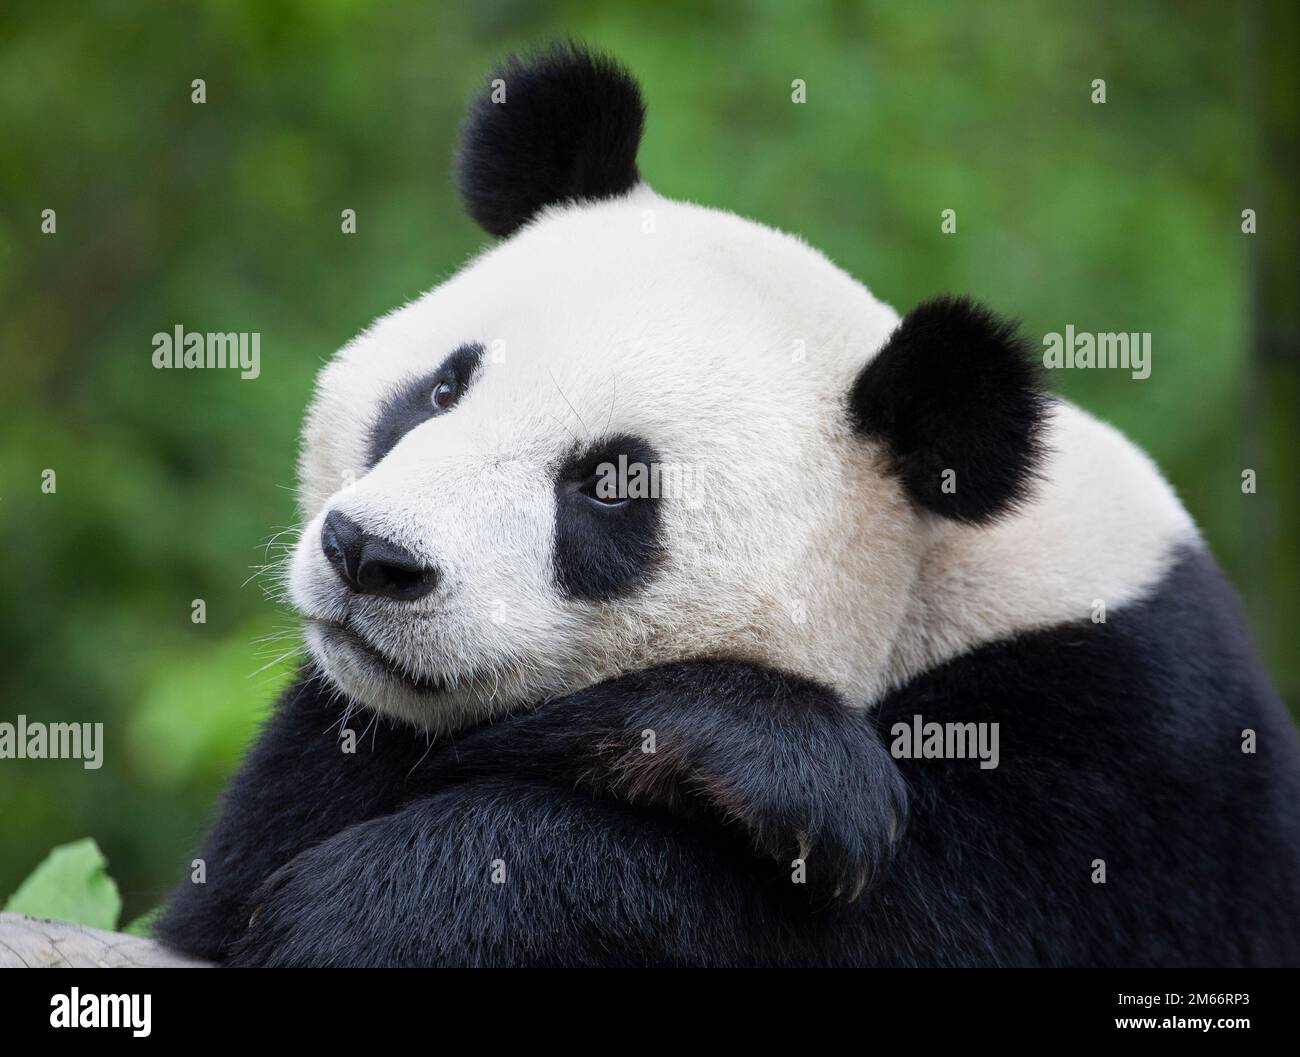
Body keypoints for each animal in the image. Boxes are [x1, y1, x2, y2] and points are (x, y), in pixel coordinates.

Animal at [157, 43, 1300, 967]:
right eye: (444, 387)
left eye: (609, 485)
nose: (372, 557)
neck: (932, 576)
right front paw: (784, 761)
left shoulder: (1122, 760)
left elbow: (867, 922)